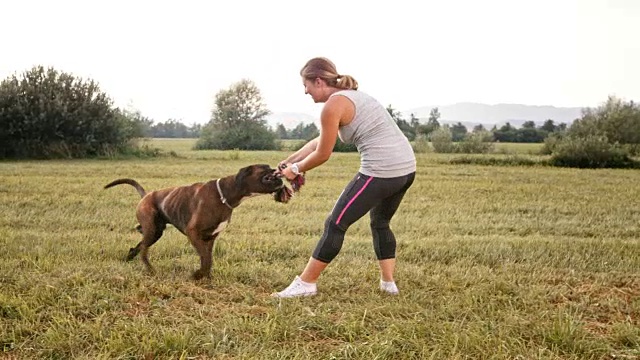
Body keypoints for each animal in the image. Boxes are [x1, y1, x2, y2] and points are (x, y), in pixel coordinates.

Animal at [104, 165, 284, 280]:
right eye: (265, 167)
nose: (278, 169)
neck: (225, 194)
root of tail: (146, 195)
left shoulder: (210, 238)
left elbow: (208, 258)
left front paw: (206, 277)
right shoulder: (194, 233)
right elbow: (205, 258)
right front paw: (198, 275)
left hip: (156, 232)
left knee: (138, 246)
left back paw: (129, 259)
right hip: (152, 230)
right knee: (143, 251)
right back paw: (150, 270)